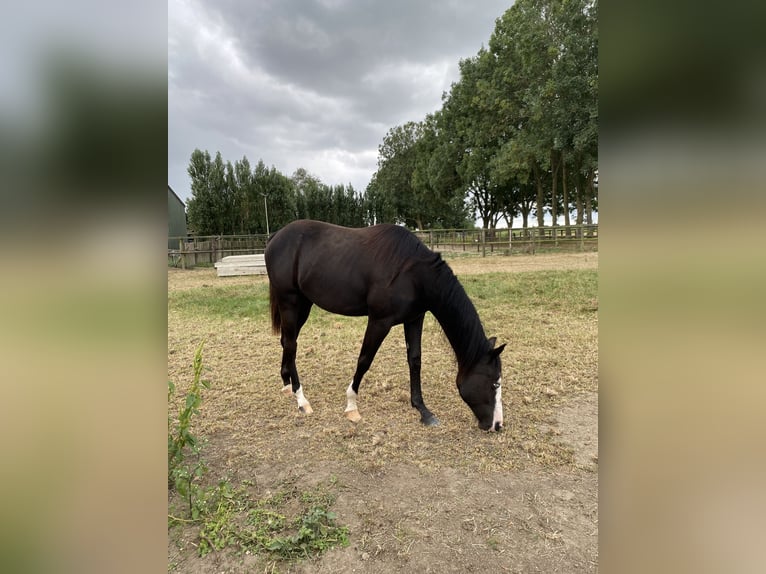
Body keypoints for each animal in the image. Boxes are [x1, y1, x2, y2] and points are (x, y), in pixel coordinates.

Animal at [264, 219, 507, 431]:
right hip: (290, 302)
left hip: (303, 304)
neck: (412, 272)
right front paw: (351, 406)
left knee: (286, 341)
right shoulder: (380, 321)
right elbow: (364, 360)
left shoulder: (414, 319)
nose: (497, 425)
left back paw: (286, 384)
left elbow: (415, 361)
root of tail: (276, 236)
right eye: (494, 383)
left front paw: (423, 410)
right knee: (292, 345)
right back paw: (301, 399)